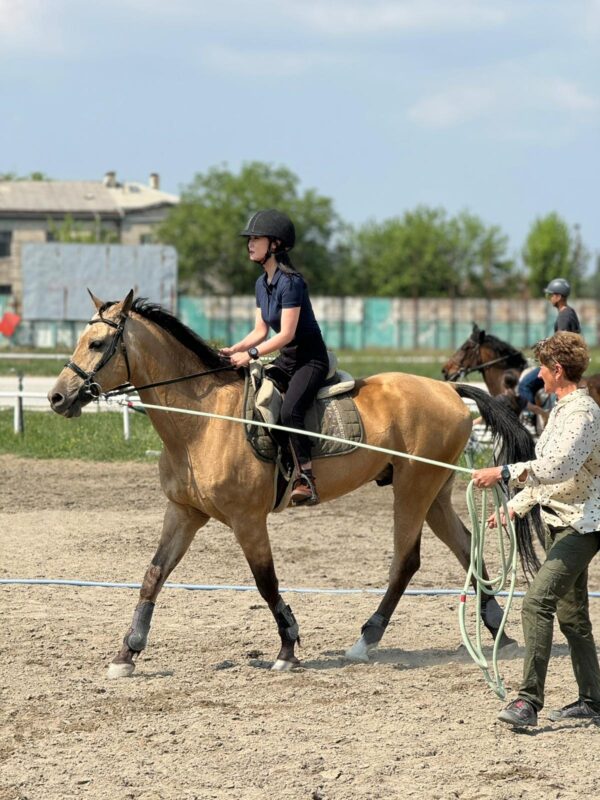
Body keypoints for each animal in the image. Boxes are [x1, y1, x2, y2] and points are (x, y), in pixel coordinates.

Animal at [48, 290, 544, 680]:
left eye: (97, 343)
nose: (57, 397)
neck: (202, 419)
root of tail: (447, 391)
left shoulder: (247, 520)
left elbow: (265, 582)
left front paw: (287, 647)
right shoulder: (184, 513)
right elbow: (153, 575)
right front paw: (127, 652)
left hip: (414, 488)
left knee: (407, 561)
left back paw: (367, 639)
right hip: (434, 490)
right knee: (464, 545)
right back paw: (496, 625)